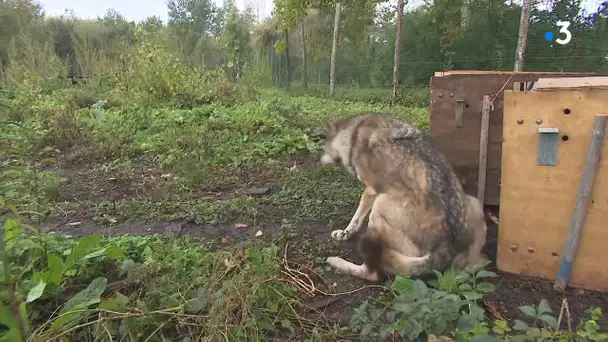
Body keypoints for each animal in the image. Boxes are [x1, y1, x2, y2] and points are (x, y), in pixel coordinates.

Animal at [320, 113, 486, 282]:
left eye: (325, 146)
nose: (320, 161)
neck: (353, 134)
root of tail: (447, 247)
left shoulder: (371, 190)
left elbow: (356, 218)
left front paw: (344, 234)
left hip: (380, 204)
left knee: (375, 272)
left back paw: (338, 262)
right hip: (475, 202)